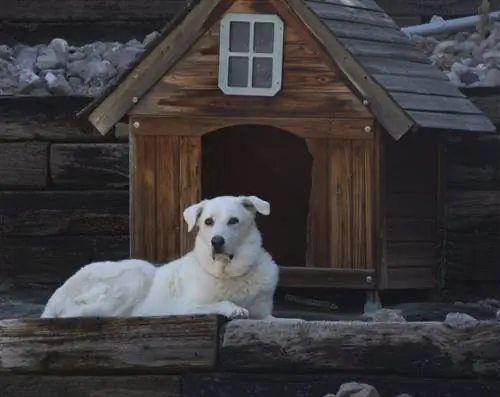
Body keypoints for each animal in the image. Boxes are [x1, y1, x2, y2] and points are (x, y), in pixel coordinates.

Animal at [41, 194, 280, 318]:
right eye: (208, 221)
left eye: (233, 221)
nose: (216, 241)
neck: (231, 273)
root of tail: (58, 292)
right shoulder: (184, 306)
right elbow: (221, 303)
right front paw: (234, 308)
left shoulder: (265, 314)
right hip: (139, 272)